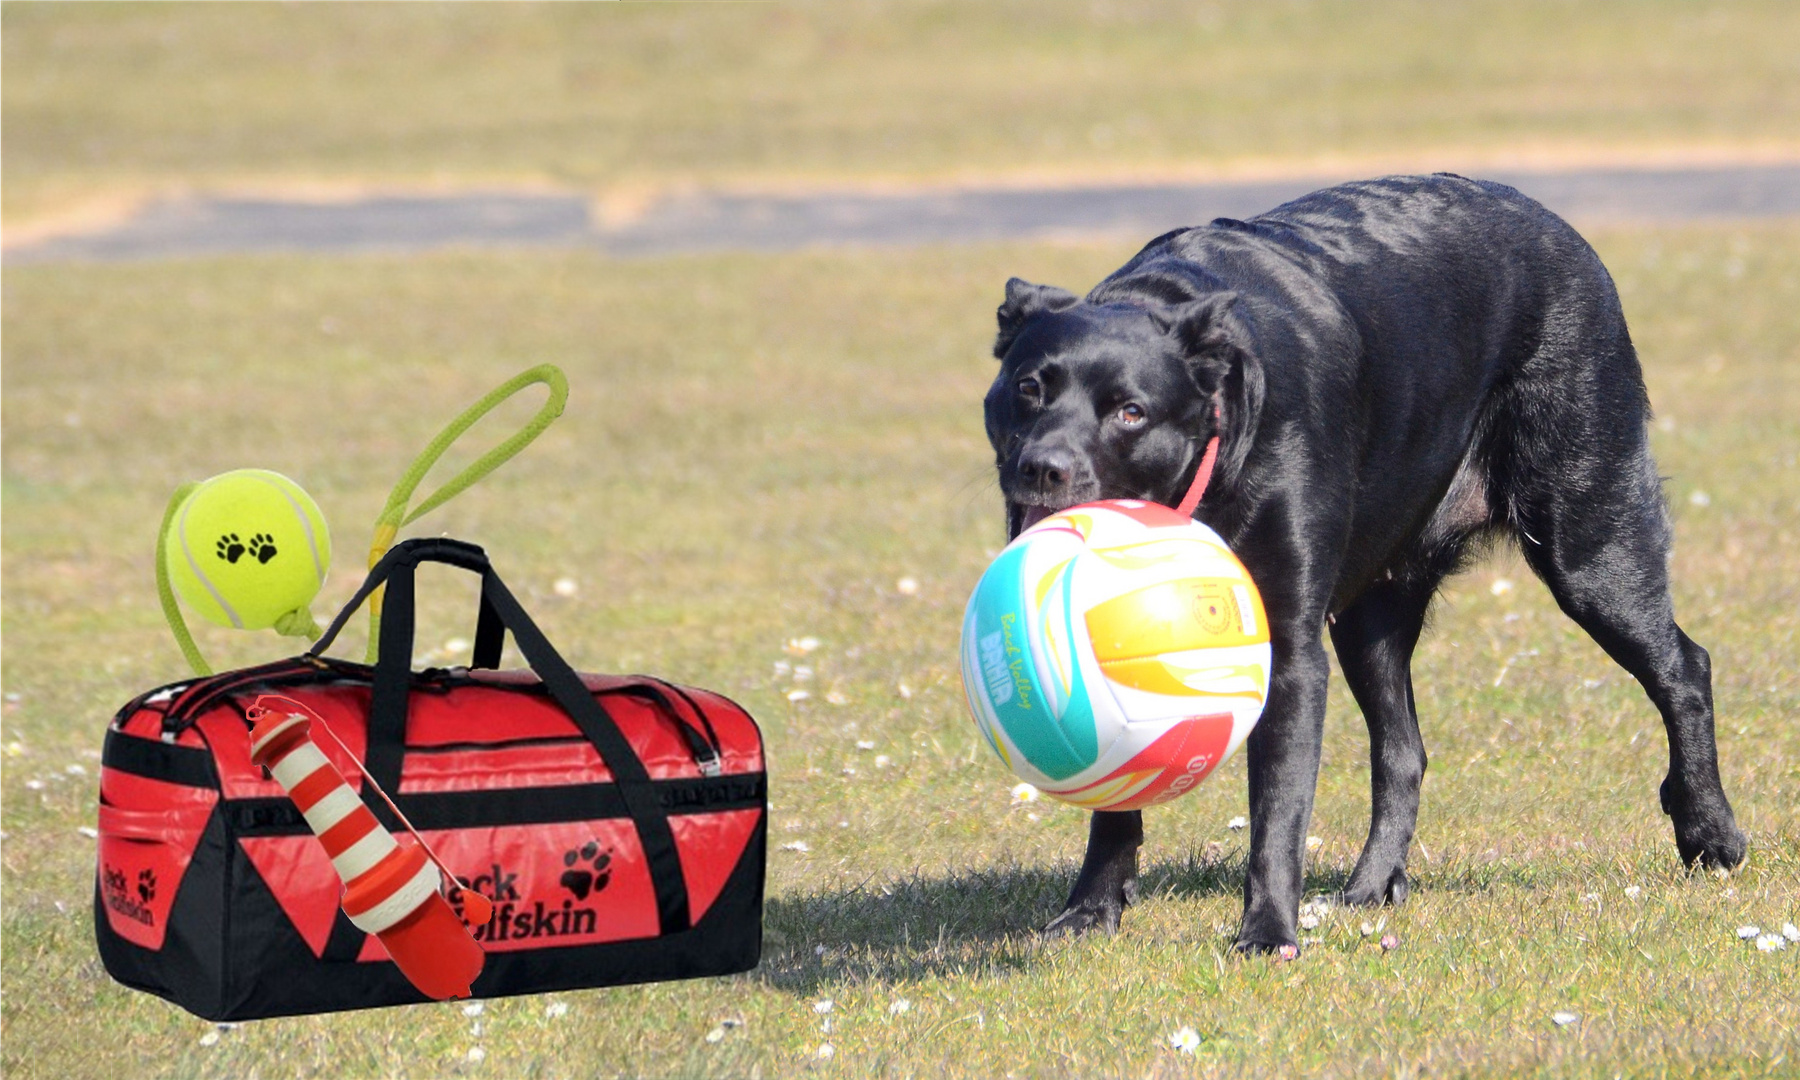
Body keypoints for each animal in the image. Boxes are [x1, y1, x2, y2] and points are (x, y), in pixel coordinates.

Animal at [993, 172, 1749, 950]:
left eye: (1131, 412)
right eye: (1028, 389)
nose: (1042, 468)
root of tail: (1555, 223)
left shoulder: (1291, 647)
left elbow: (1279, 809)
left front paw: (1267, 933)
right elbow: (1116, 796)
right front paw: (1090, 911)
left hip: (1590, 545)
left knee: (1684, 667)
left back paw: (1709, 833)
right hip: (1369, 619)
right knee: (1403, 752)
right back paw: (1371, 884)